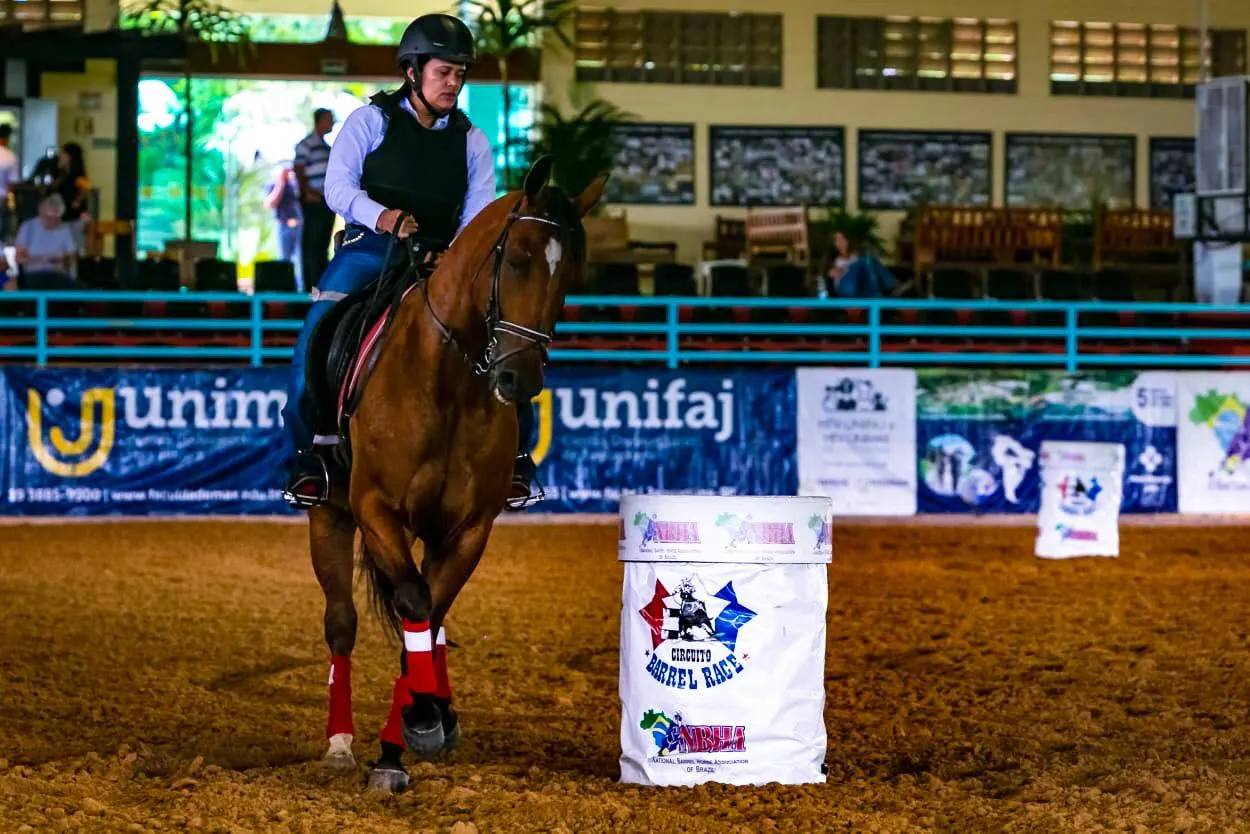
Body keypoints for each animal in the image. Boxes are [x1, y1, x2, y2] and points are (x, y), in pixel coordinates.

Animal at [307, 158, 610, 795]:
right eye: (517, 256)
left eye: (570, 271)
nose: (520, 379)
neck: (445, 382)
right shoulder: (376, 511)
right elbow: (413, 604)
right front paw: (411, 728)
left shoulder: (468, 530)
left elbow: (429, 618)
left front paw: (419, 725)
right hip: (329, 515)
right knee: (342, 624)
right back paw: (340, 742)